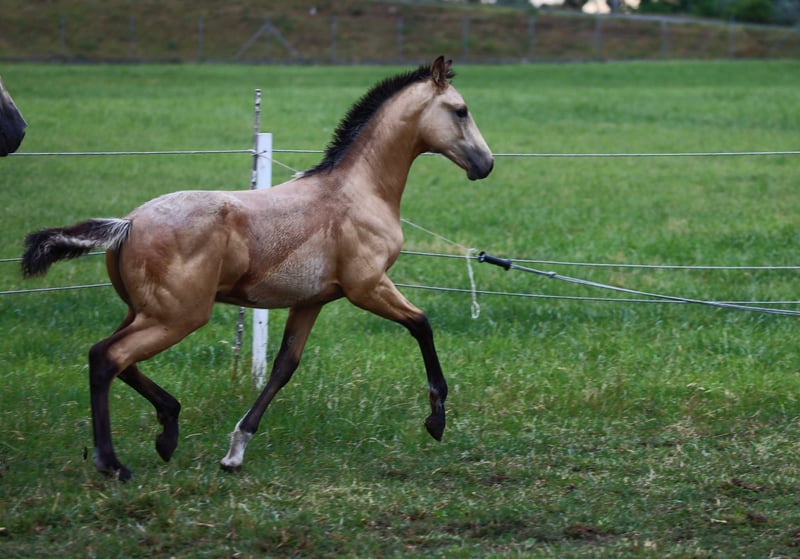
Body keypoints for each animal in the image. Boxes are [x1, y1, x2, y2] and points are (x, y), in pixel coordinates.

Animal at [21, 56, 493, 481]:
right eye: (461, 110)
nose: (486, 164)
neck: (359, 191)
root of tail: (128, 223)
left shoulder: (313, 300)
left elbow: (284, 366)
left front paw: (235, 451)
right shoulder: (368, 286)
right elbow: (422, 324)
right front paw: (436, 421)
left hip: (145, 312)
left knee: (111, 356)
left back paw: (168, 430)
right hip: (178, 316)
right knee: (109, 357)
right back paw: (113, 462)